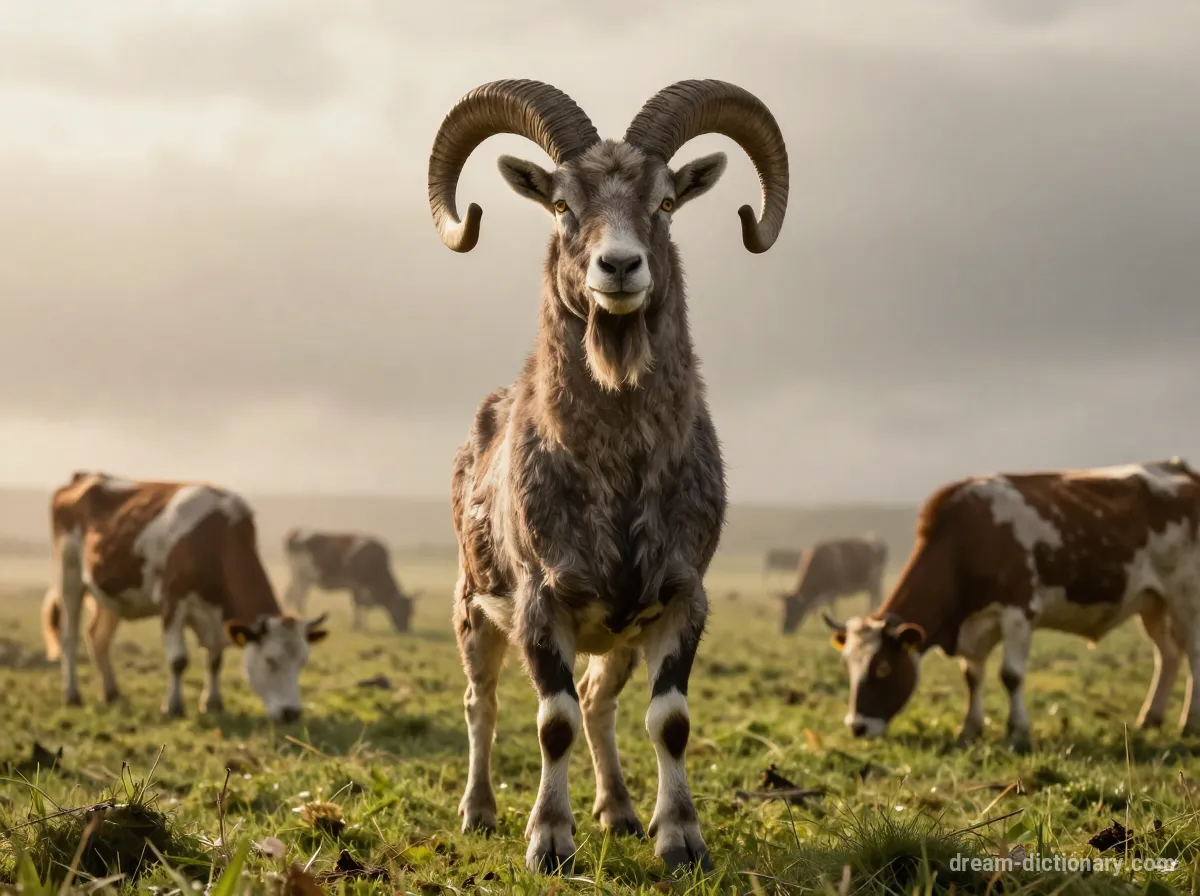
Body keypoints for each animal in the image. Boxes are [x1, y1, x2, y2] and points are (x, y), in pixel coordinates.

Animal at [41, 471, 329, 723]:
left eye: (303, 661)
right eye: (270, 660)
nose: (292, 713)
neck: (214, 538)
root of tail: (84, 476)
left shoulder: (216, 617)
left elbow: (215, 660)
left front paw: (212, 703)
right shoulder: (173, 600)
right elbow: (178, 660)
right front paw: (172, 706)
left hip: (112, 597)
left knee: (97, 637)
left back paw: (111, 693)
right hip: (69, 576)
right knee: (69, 636)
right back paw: (72, 695)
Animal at [283, 528, 417, 633]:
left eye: (412, 612)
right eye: (403, 610)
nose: (405, 630)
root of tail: (296, 532)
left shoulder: (358, 588)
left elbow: (361, 606)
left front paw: (362, 626)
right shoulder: (358, 585)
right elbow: (358, 604)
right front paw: (357, 626)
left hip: (299, 578)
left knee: (289, 595)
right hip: (300, 577)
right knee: (299, 598)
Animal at [824, 458, 1200, 750]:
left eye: (883, 667)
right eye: (846, 666)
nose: (857, 726)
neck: (966, 542)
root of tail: (1177, 466)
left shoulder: (1019, 611)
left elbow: (1011, 675)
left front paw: (1017, 730)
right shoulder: (974, 624)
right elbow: (972, 676)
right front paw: (970, 728)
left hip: (1185, 592)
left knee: (1193, 652)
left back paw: (1189, 722)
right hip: (1152, 601)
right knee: (1168, 653)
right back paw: (1150, 718)